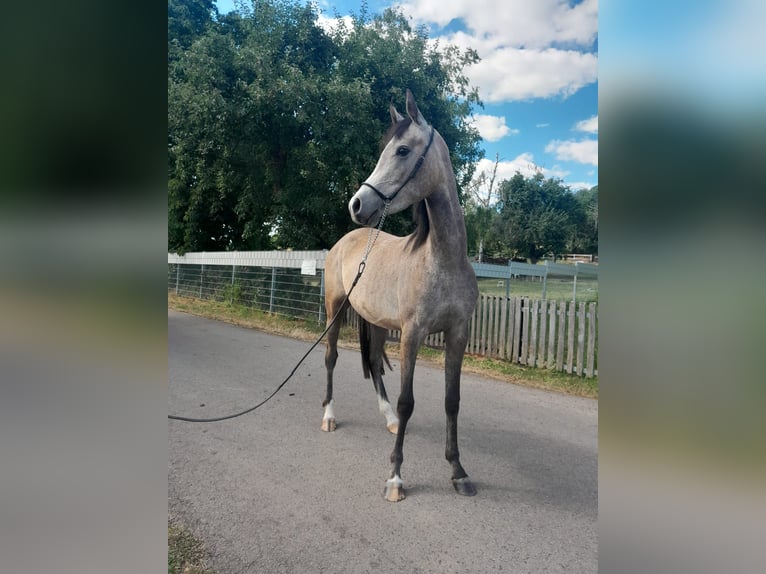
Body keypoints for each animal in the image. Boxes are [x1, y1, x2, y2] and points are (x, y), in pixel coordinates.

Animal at [321, 90, 479, 502]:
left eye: (403, 150)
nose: (357, 205)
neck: (442, 260)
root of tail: (347, 239)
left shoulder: (458, 334)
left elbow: (452, 401)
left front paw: (458, 471)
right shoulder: (412, 334)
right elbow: (409, 401)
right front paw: (395, 476)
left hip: (375, 321)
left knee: (375, 364)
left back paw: (388, 418)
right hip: (333, 310)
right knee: (330, 359)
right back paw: (328, 416)